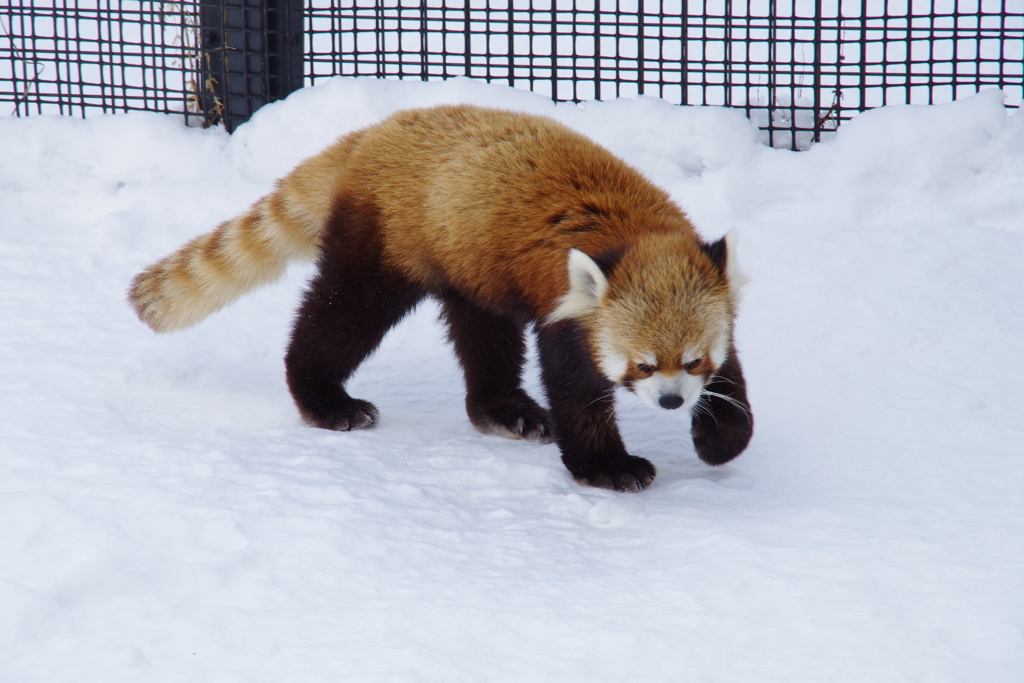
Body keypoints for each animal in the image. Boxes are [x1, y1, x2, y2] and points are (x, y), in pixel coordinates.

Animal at [130, 104, 753, 491]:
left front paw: (721, 439)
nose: (672, 402)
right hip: (386, 238)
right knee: (343, 314)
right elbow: (576, 389)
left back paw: (506, 412)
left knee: (484, 336)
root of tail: (372, 132)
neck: (632, 236)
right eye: (641, 366)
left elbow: (734, 377)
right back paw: (327, 401)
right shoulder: (566, 310)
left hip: (470, 264)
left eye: (693, 361)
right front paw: (609, 468)